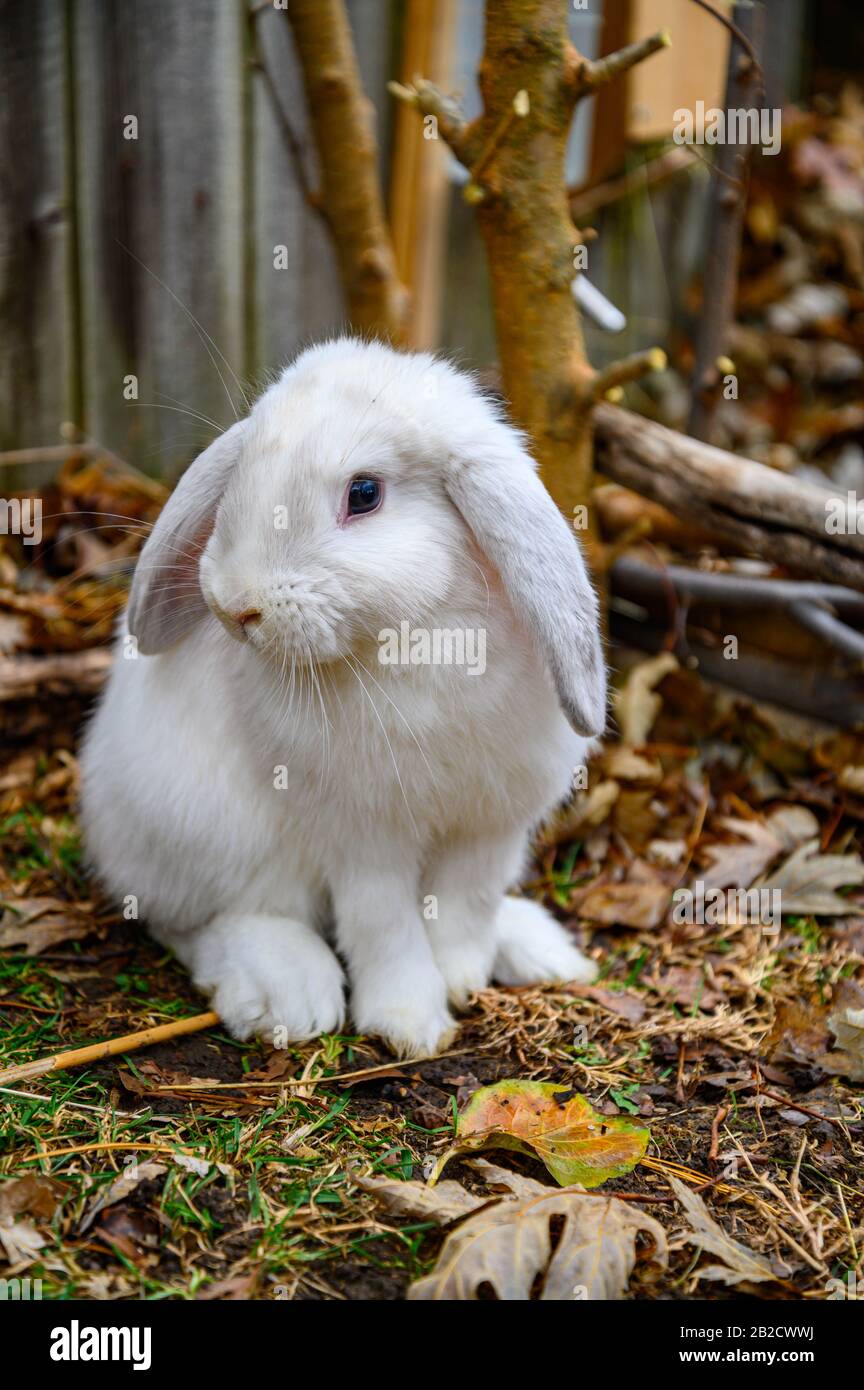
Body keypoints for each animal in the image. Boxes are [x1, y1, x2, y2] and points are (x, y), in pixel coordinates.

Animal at [81, 336, 608, 1050]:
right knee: (197, 922)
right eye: (241, 474)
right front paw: (410, 1023)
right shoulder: (361, 838)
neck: (416, 635)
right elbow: (384, 925)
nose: (233, 605)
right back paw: (288, 992)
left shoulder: (492, 827)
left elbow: (466, 905)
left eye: (364, 493)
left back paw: (536, 949)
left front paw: (462, 979)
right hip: (206, 836)